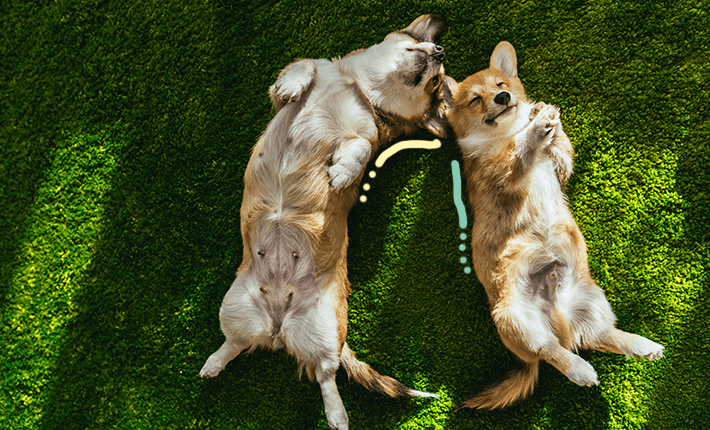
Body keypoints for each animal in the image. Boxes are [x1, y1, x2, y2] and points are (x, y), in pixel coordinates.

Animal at [197, 15, 448, 428]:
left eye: (436, 83)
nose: (440, 51)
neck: (359, 89)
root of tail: (279, 326)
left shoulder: (366, 136)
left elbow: (359, 148)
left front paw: (343, 173)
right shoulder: (285, 94)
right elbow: (305, 66)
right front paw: (294, 83)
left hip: (326, 329)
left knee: (326, 374)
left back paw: (337, 415)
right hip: (235, 307)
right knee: (236, 343)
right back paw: (214, 363)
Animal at [444, 42, 668, 410]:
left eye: (502, 85)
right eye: (476, 99)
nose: (504, 98)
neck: (503, 133)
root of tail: (556, 319)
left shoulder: (560, 166)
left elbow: (561, 148)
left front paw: (543, 114)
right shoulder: (502, 175)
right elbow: (519, 150)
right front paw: (534, 129)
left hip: (593, 302)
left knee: (598, 337)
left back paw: (641, 345)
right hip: (517, 322)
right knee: (552, 352)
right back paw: (581, 370)